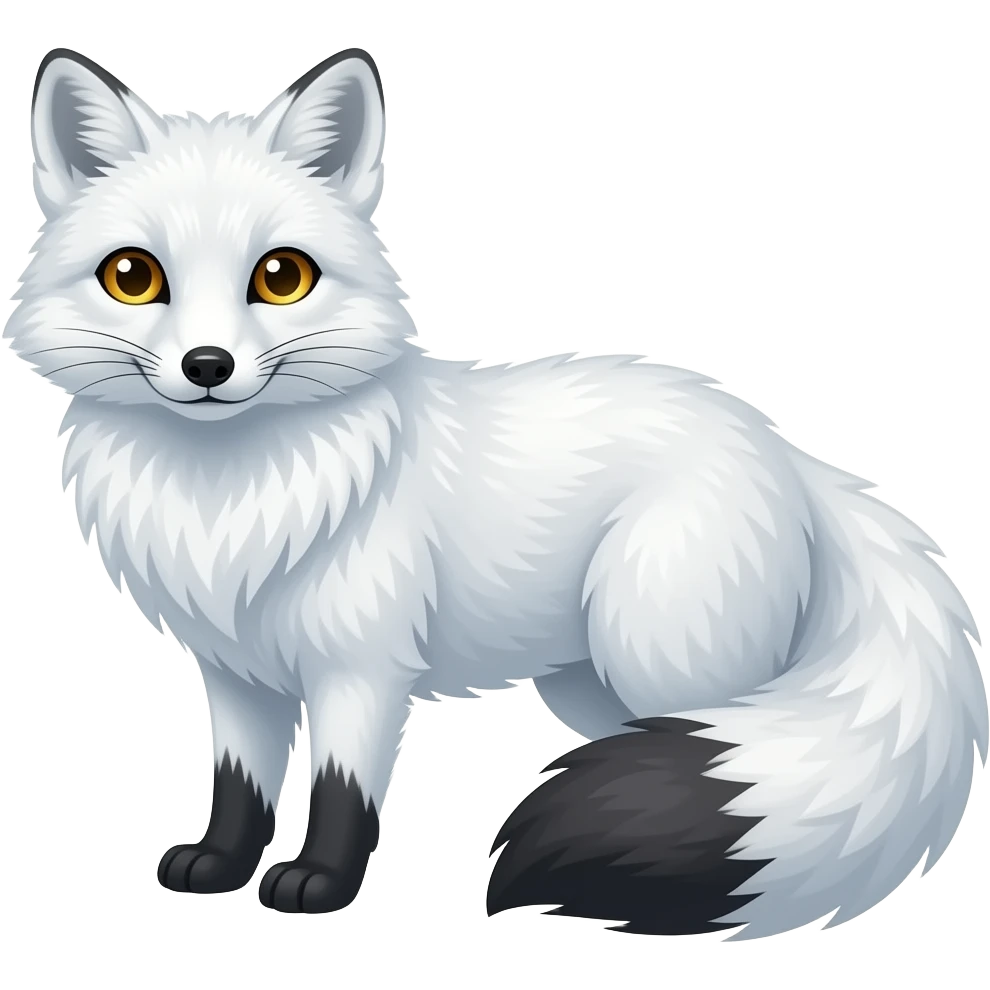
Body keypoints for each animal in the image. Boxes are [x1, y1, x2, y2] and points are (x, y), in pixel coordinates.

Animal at [4, 45, 986, 939]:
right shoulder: (237, 673)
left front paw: (321, 885)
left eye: (280, 277)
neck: (228, 508)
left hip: (665, 660)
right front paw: (218, 866)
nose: (208, 367)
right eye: (134, 276)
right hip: (591, 683)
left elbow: (342, 791)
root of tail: (790, 453)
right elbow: (239, 787)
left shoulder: (362, 668)